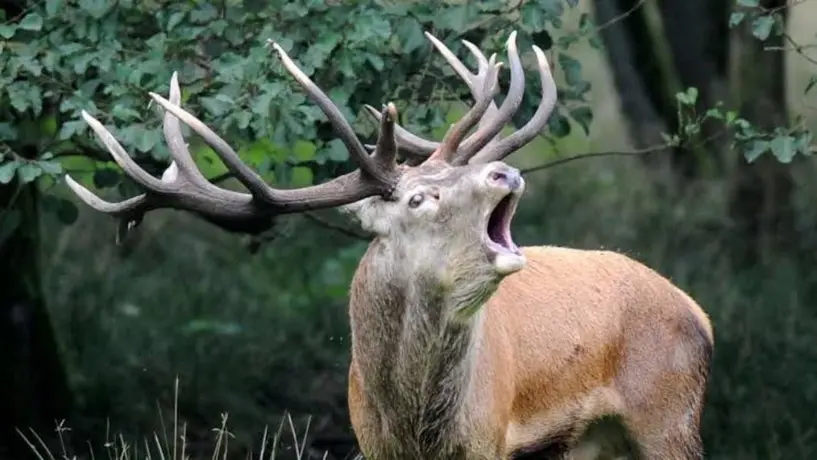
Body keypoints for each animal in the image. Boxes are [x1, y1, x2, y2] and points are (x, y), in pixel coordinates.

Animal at [65, 30, 713, 460]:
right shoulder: (369, 441)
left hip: (670, 414)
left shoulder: (491, 439)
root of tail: (697, 311)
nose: (504, 171)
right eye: (419, 198)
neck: (416, 425)